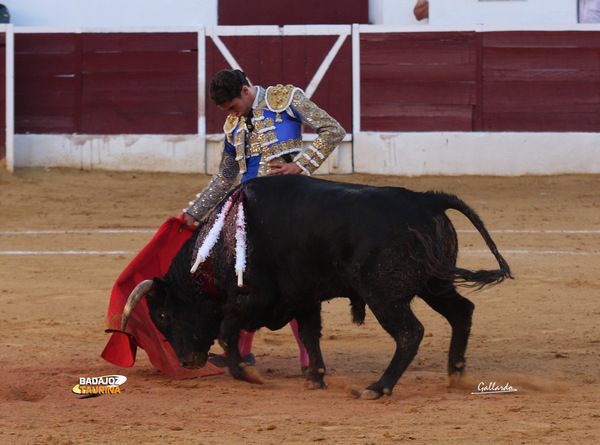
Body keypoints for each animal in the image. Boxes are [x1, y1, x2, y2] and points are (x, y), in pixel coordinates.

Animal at [120, 173, 510, 398]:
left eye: (163, 315)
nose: (186, 362)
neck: (220, 243)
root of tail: (425, 198)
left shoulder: (249, 298)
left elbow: (228, 332)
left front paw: (246, 374)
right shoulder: (302, 297)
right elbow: (309, 333)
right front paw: (315, 378)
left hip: (385, 294)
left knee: (410, 333)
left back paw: (378, 387)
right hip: (434, 282)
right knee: (461, 312)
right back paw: (455, 373)